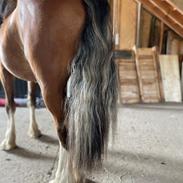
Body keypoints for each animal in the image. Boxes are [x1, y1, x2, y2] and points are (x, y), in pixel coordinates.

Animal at [0, 0, 117, 182]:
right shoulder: (31, 77)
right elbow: (31, 100)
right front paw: (34, 131)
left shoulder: (4, 71)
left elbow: (10, 105)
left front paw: (9, 142)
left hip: (51, 89)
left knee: (65, 131)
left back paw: (64, 176)